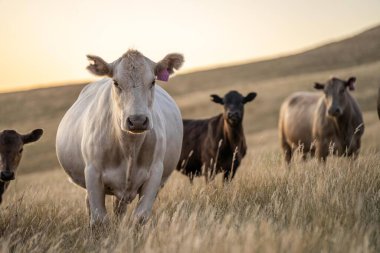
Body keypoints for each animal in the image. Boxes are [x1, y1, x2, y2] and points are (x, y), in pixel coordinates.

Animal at [56, 49, 186, 225]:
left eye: (153, 81)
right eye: (116, 82)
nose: (137, 120)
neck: (129, 146)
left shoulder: (155, 173)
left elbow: (140, 216)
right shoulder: (92, 173)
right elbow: (99, 219)